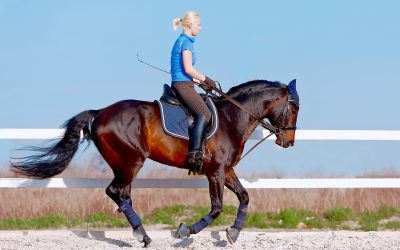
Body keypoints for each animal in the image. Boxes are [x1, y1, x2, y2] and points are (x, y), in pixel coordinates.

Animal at [10, 79, 300, 247]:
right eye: (294, 108)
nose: (288, 141)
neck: (232, 118)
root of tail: (101, 112)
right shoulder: (215, 172)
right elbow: (216, 208)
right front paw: (184, 231)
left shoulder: (226, 171)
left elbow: (244, 197)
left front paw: (234, 233)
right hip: (131, 161)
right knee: (116, 191)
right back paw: (143, 235)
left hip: (125, 164)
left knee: (122, 195)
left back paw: (141, 233)